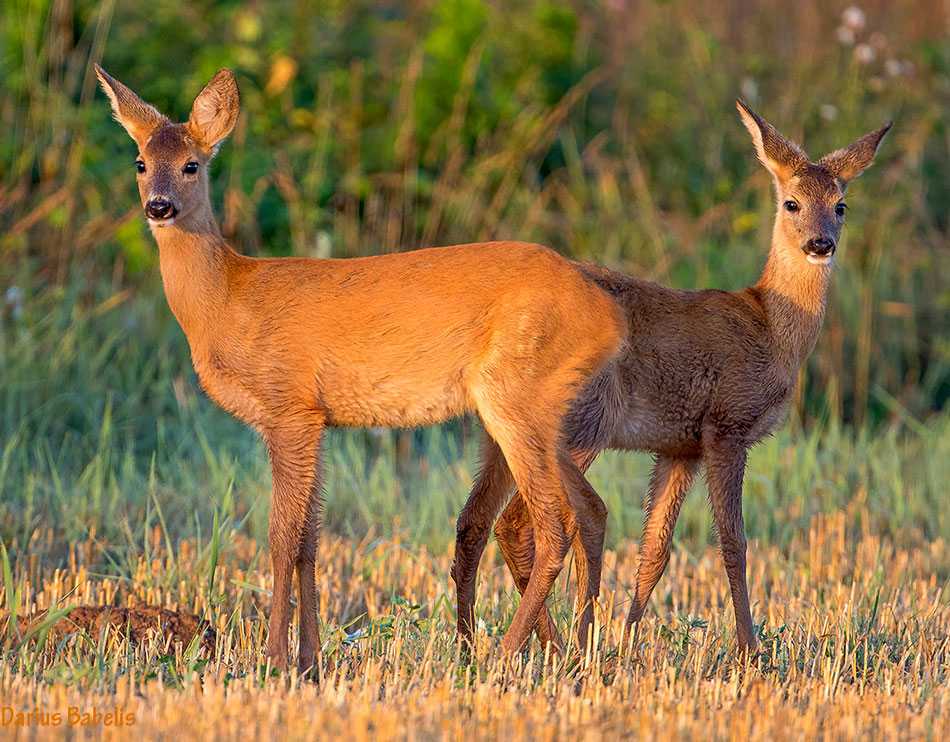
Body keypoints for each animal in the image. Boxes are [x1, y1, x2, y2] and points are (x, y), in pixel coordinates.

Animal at [98, 64, 632, 672]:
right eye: (140, 162)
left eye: (192, 164)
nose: (159, 206)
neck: (227, 300)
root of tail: (608, 315)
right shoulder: (316, 420)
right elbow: (310, 539)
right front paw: (309, 661)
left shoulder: (289, 407)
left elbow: (281, 538)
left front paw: (273, 659)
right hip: (540, 413)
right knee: (584, 512)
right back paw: (572, 655)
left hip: (517, 396)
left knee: (553, 521)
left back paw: (503, 655)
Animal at [450, 100, 888, 656]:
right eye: (791, 202)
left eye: (841, 205)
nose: (820, 243)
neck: (770, 328)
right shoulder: (727, 425)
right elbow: (734, 543)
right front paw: (750, 650)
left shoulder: (680, 446)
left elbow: (656, 549)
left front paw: (627, 642)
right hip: (579, 426)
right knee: (521, 524)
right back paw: (541, 646)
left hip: (502, 435)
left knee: (475, 521)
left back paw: (491, 644)